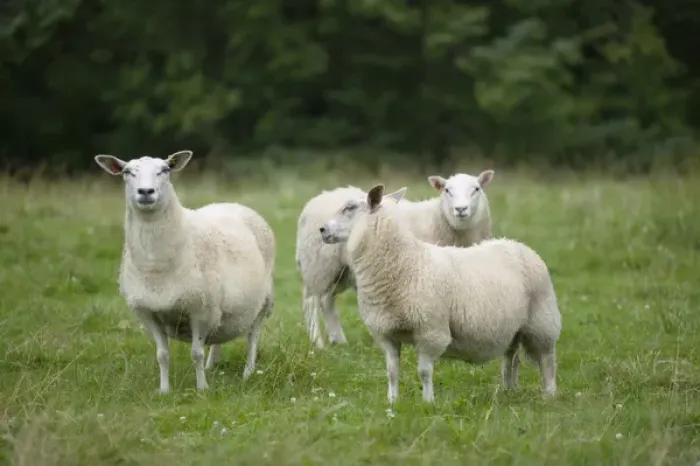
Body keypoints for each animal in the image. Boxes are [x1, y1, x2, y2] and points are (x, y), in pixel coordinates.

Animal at [94, 150, 275, 393]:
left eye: (165, 170)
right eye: (127, 172)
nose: (145, 192)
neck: (155, 265)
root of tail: (233, 204)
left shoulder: (200, 309)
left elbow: (196, 353)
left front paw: (202, 389)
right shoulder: (148, 312)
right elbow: (162, 354)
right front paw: (164, 390)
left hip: (262, 301)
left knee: (253, 336)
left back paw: (248, 371)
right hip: (221, 308)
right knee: (219, 333)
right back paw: (212, 365)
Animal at [295, 169, 494, 348]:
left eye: (476, 189)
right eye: (447, 190)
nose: (461, 209)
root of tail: (313, 202)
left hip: (341, 271)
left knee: (326, 300)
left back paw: (339, 340)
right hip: (318, 265)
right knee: (311, 302)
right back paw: (318, 343)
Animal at [319, 184, 561, 404]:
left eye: (349, 207)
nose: (321, 229)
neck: (404, 263)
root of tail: (517, 244)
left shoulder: (430, 331)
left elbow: (424, 372)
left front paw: (428, 402)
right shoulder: (386, 332)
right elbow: (392, 371)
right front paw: (392, 402)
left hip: (542, 321)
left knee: (547, 360)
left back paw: (549, 395)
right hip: (514, 327)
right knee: (511, 356)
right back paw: (509, 390)